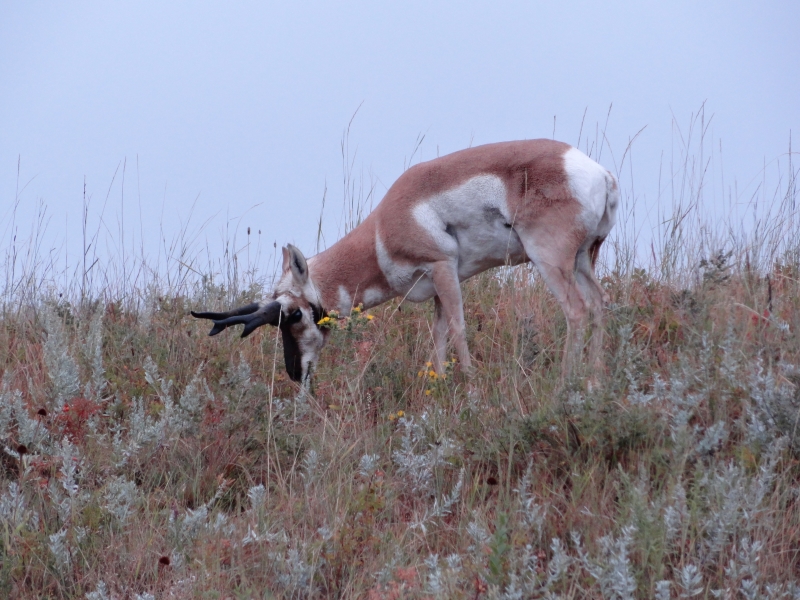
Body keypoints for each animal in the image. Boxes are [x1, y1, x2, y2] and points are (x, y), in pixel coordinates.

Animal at [192, 140, 618, 384]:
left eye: (294, 314)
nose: (295, 374)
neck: (385, 224)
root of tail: (599, 173)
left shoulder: (443, 267)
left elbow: (459, 329)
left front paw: (470, 386)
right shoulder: (439, 285)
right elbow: (439, 336)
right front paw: (441, 387)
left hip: (550, 261)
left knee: (576, 311)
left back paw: (566, 385)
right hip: (583, 260)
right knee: (599, 304)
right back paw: (594, 382)